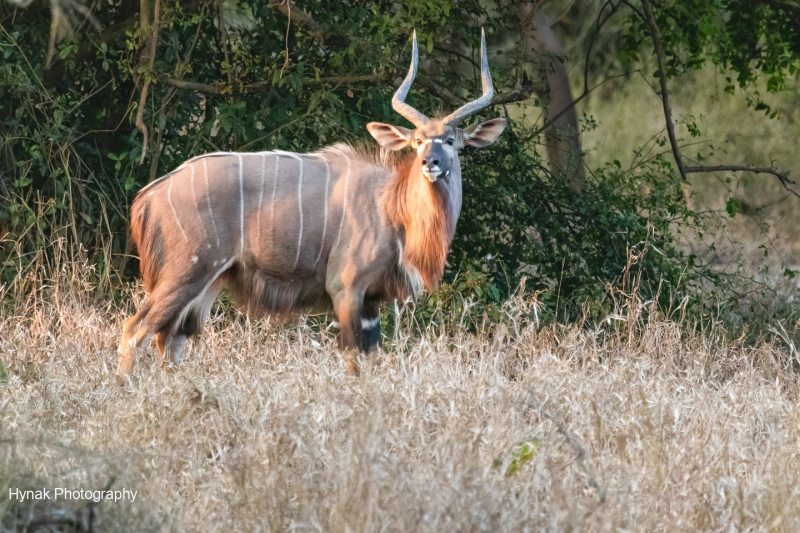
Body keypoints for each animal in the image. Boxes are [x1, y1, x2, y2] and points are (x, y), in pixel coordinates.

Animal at [119, 30, 506, 378]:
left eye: (451, 140)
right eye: (417, 141)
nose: (430, 162)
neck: (391, 205)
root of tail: (149, 195)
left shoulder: (370, 300)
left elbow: (373, 362)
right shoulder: (345, 289)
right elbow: (352, 361)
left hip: (208, 280)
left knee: (171, 338)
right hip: (187, 271)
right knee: (135, 329)